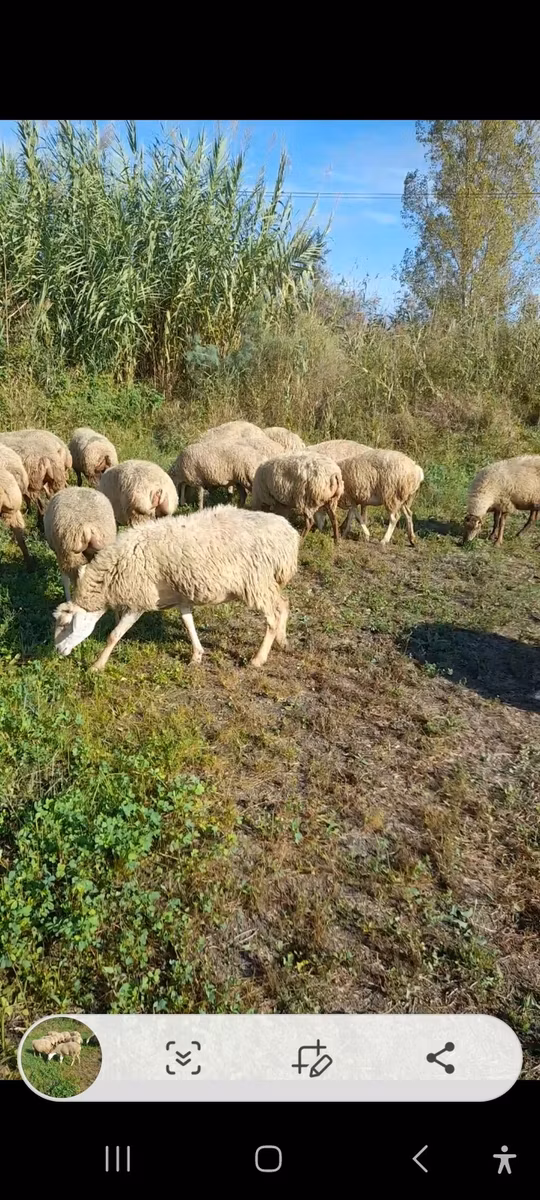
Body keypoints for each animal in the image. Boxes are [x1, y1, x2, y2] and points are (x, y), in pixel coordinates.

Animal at [52, 505, 300, 672]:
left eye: (66, 625)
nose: (57, 651)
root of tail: (289, 533)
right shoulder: (180, 595)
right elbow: (187, 622)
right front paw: (197, 655)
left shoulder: (139, 600)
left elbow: (115, 635)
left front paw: (97, 665)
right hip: (267, 582)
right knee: (284, 604)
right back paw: (282, 640)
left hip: (257, 583)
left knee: (272, 618)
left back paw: (259, 658)